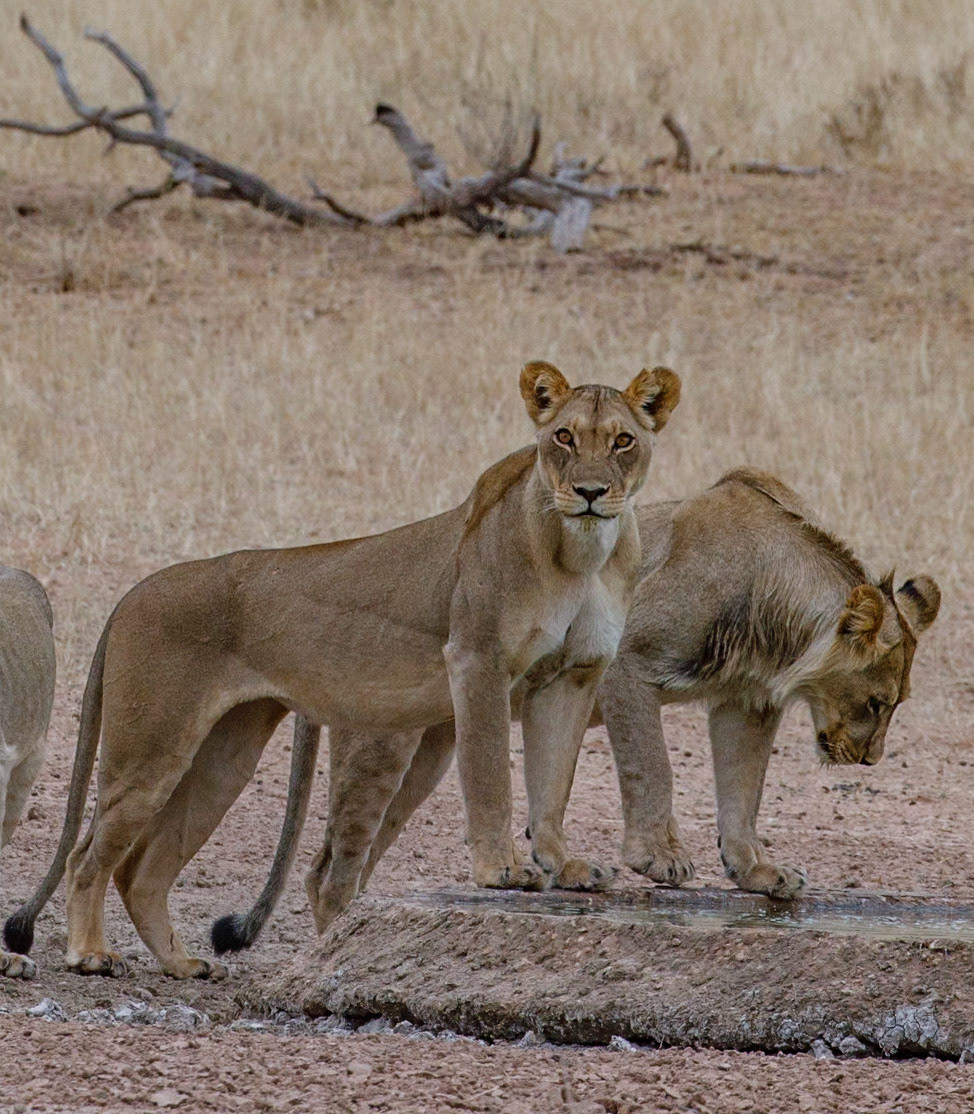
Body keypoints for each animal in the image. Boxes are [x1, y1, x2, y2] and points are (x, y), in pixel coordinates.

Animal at [4, 361, 681, 979]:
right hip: (151, 748)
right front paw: (503, 871)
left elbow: (553, 783)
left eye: (622, 441)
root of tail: (131, 592)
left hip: (225, 756)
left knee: (143, 869)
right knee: (90, 856)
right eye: (563, 436)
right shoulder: (477, 660)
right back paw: (90, 954)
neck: (580, 553)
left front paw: (564, 866)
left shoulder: (572, 676)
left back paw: (182, 964)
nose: (590, 492)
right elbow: (491, 774)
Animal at [216, 467, 940, 952]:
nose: (869, 760)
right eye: (876, 701)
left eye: (897, 704)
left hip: (432, 749)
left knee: (349, 863)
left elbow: (743, 792)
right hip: (382, 747)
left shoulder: (745, 703)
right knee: (329, 876)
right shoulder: (624, 661)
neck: (777, 614)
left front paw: (757, 871)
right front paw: (658, 859)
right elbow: (653, 768)